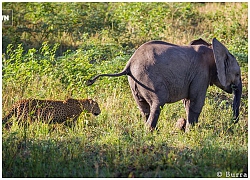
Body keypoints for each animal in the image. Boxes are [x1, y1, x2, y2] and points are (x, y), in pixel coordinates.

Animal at [86, 38, 242, 131]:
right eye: (237, 74)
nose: (233, 123)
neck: (212, 51)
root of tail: (129, 64)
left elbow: (188, 103)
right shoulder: (201, 74)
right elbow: (196, 103)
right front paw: (191, 132)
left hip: (135, 82)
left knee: (144, 108)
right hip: (148, 78)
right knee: (157, 104)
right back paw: (151, 132)